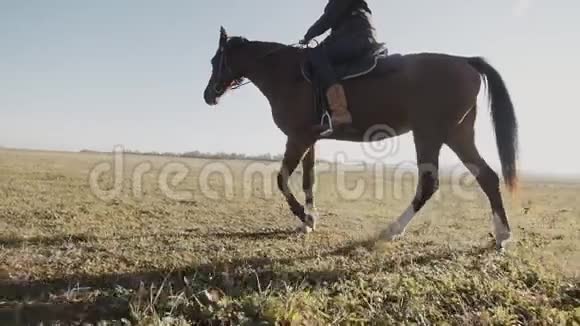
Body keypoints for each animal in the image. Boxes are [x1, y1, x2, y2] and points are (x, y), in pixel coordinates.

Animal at [203, 28, 516, 251]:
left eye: (215, 60)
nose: (208, 95)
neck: (287, 74)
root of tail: (465, 62)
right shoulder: (310, 139)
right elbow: (308, 179)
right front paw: (310, 221)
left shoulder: (297, 138)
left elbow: (282, 179)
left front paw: (304, 217)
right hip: (457, 134)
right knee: (487, 176)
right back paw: (502, 235)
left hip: (429, 134)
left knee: (429, 184)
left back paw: (392, 230)